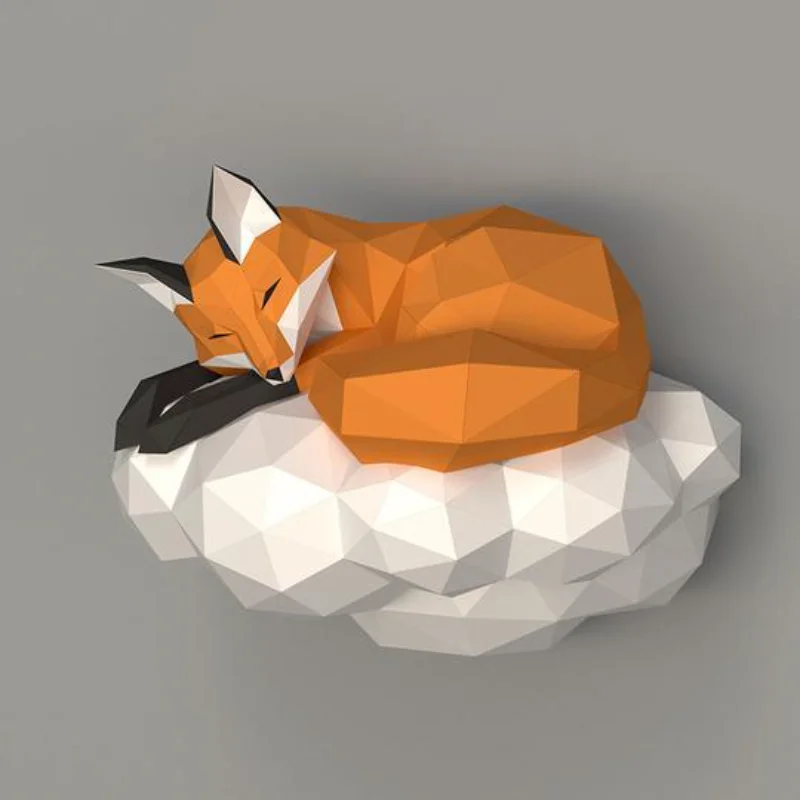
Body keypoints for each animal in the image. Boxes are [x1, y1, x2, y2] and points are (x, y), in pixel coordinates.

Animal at [100, 165, 651, 472]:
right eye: (222, 333)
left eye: (270, 295)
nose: (273, 367)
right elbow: (168, 378)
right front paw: (134, 415)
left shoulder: (325, 355)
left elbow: (226, 393)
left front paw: (163, 428)